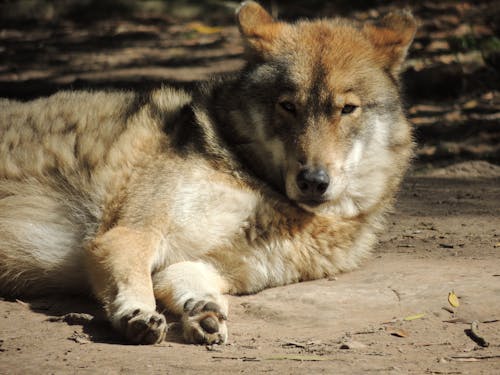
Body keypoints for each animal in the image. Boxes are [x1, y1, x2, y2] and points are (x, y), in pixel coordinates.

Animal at [0, 1, 416, 346]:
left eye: (347, 109)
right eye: (288, 106)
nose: (313, 181)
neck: (255, 179)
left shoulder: (204, 265)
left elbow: (191, 286)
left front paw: (204, 312)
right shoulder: (127, 235)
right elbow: (134, 279)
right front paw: (137, 314)